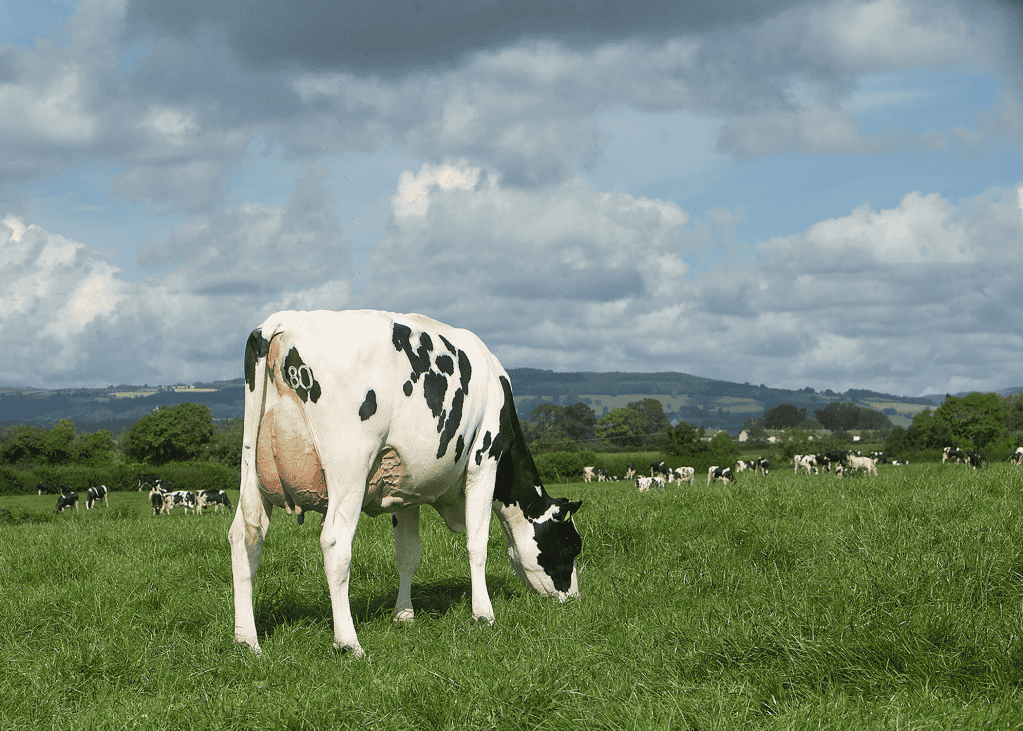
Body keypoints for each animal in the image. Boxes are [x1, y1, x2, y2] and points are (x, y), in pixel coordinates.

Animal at [231, 310, 585, 658]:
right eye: (570, 546)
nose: (574, 598)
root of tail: (285, 320)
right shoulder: (484, 463)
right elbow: (477, 544)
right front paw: (483, 614)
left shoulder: (404, 490)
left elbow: (408, 553)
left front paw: (404, 615)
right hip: (349, 468)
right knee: (334, 542)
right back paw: (348, 641)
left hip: (251, 469)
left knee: (244, 536)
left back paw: (247, 639)